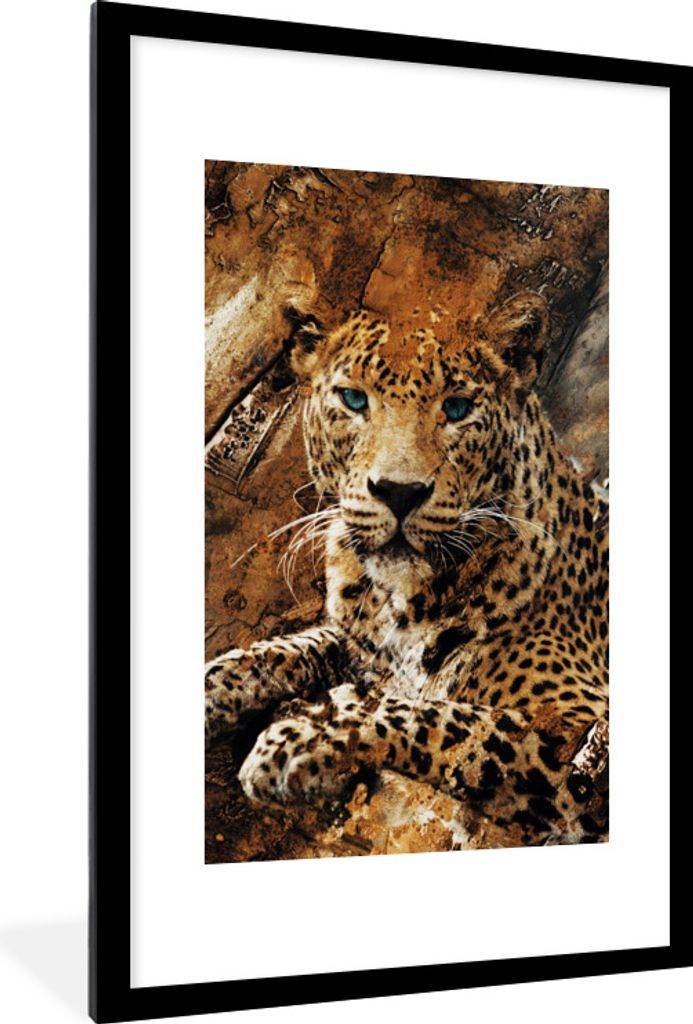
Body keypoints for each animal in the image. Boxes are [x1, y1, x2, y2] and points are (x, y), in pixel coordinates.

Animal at [205, 292, 609, 847]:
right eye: (354, 400)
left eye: (457, 408)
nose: (399, 492)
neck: (400, 599)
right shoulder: (356, 642)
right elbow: (277, 652)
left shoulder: (583, 737)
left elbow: (443, 719)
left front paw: (297, 741)